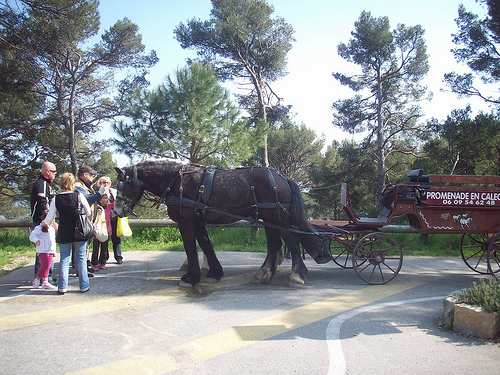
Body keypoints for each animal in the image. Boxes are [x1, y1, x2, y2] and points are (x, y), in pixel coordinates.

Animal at [114, 158, 332, 288]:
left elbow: (190, 247)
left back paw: (297, 275)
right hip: (270, 218)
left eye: (123, 185)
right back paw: (264, 274)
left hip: (276, 216)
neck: (177, 181)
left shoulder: (187, 220)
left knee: (292, 242)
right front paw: (214, 273)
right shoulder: (198, 220)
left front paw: (191, 277)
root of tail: (283, 178)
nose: (117, 211)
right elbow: (206, 245)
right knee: (275, 244)